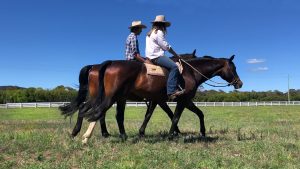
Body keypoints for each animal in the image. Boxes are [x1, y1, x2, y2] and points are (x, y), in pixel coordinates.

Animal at [60, 51, 197, 139]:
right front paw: (176, 132)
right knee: (91, 110)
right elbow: (170, 114)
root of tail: (95, 66)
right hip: (102, 97)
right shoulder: (160, 100)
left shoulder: (155, 100)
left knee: (95, 112)